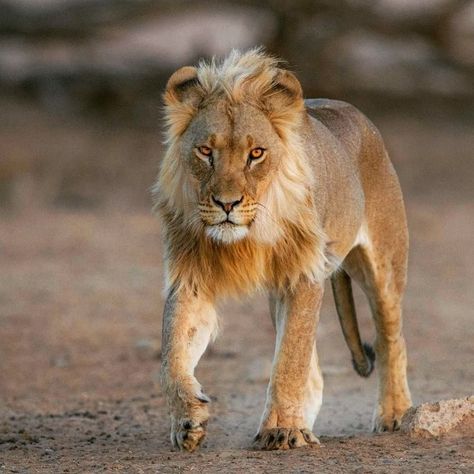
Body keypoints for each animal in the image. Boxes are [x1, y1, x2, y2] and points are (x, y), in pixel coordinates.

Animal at [155, 48, 412, 452]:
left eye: (256, 153)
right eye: (206, 151)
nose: (226, 204)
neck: (248, 237)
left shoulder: (303, 275)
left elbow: (290, 359)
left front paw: (282, 431)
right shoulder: (191, 278)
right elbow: (172, 357)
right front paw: (187, 421)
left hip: (383, 264)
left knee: (390, 338)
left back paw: (394, 414)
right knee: (317, 372)